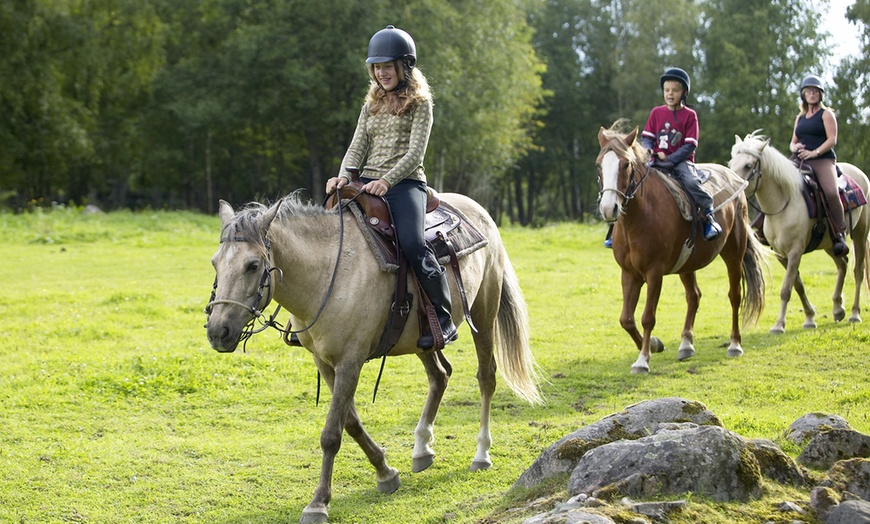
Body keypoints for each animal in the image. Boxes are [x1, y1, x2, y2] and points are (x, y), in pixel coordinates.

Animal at [207, 192, 540, 524]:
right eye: (215, 263)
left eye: (252, 265)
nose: (217, 331)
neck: (328, 273)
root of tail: (478, 210)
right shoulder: (325, 363)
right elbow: (351, 422)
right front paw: (385, 472)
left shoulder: (350, 362)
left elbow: (332, 434)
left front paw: (318, 503)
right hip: (423, 338)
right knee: (440, 375)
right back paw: (422, 447)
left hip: (484, 310)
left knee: (486, 377)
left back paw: (481, 453)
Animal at [596, 125, 768, 374]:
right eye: (599, 165)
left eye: (626, 164)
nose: (609, 208)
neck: (639, 217)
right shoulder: (629, 274)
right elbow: (626, 319)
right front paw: (654, 345)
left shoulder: (654, 273)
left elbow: (648, 317)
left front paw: (643, 360)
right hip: (687, 265)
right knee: (693, 296)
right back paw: (686, 344)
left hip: (733, 254)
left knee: (734, 296)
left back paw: (735, 344)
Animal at [728, 133, 870, 334]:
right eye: (731, 162)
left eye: (748, 165)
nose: (732, 189)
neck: (784, 202)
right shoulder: (781, 254)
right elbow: (798, 285)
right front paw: (810, 318)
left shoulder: (795, 252)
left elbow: (786, 289)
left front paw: (779, 325)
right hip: (831, 243)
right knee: (842, 265)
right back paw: (837, 308)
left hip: (860, 234)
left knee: (858, 271)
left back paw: (854, 313)